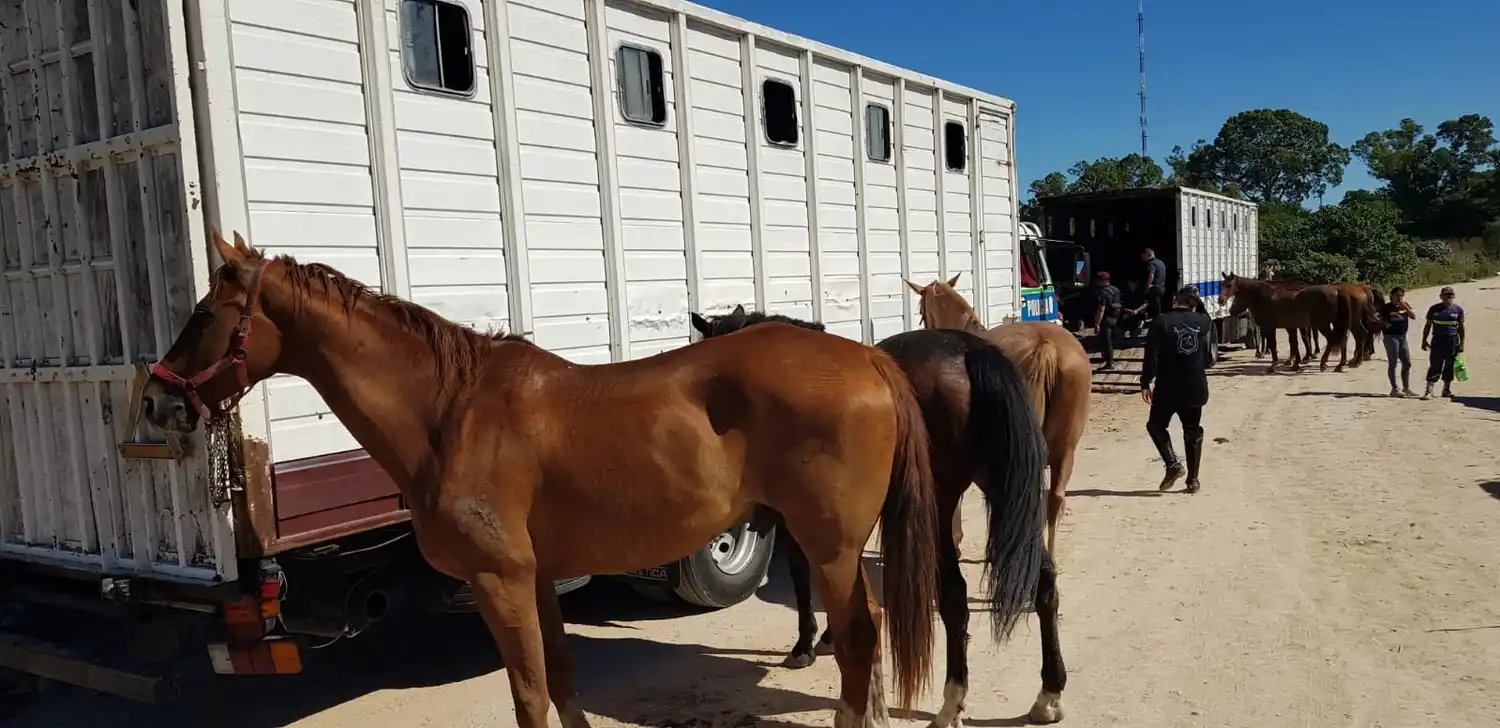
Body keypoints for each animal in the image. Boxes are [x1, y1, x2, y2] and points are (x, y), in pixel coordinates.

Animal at [145, 230, 943, 728]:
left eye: (206, 315)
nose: (154, 401)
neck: (451, 411)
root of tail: (867, 359)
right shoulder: (535, 582)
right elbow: (559, 684)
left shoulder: (499, 583)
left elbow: (529, 698)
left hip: (831, 546)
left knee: (858, 644)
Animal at [690, 306, 1066, 725]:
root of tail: (967, 351)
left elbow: (803, 579)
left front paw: (805, 644)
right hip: (1002, 489)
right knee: (1044, 583)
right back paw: (1048, 694)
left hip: (937, 508)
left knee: (955, 599)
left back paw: (950, 705)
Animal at [1218, 273, 1357, 373]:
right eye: (1221, 284)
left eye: (1229, 285)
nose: (1221, 301)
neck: (1264, 298)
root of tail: (1337, 291)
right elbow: (1287, 343)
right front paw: (1293, 363)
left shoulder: (1269, 327)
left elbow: (1273, 345)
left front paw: (1273, 365)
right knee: (1340, 340)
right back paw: (1338, 365)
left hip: (1322, 324)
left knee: (1332, 339)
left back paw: (1324, 363)